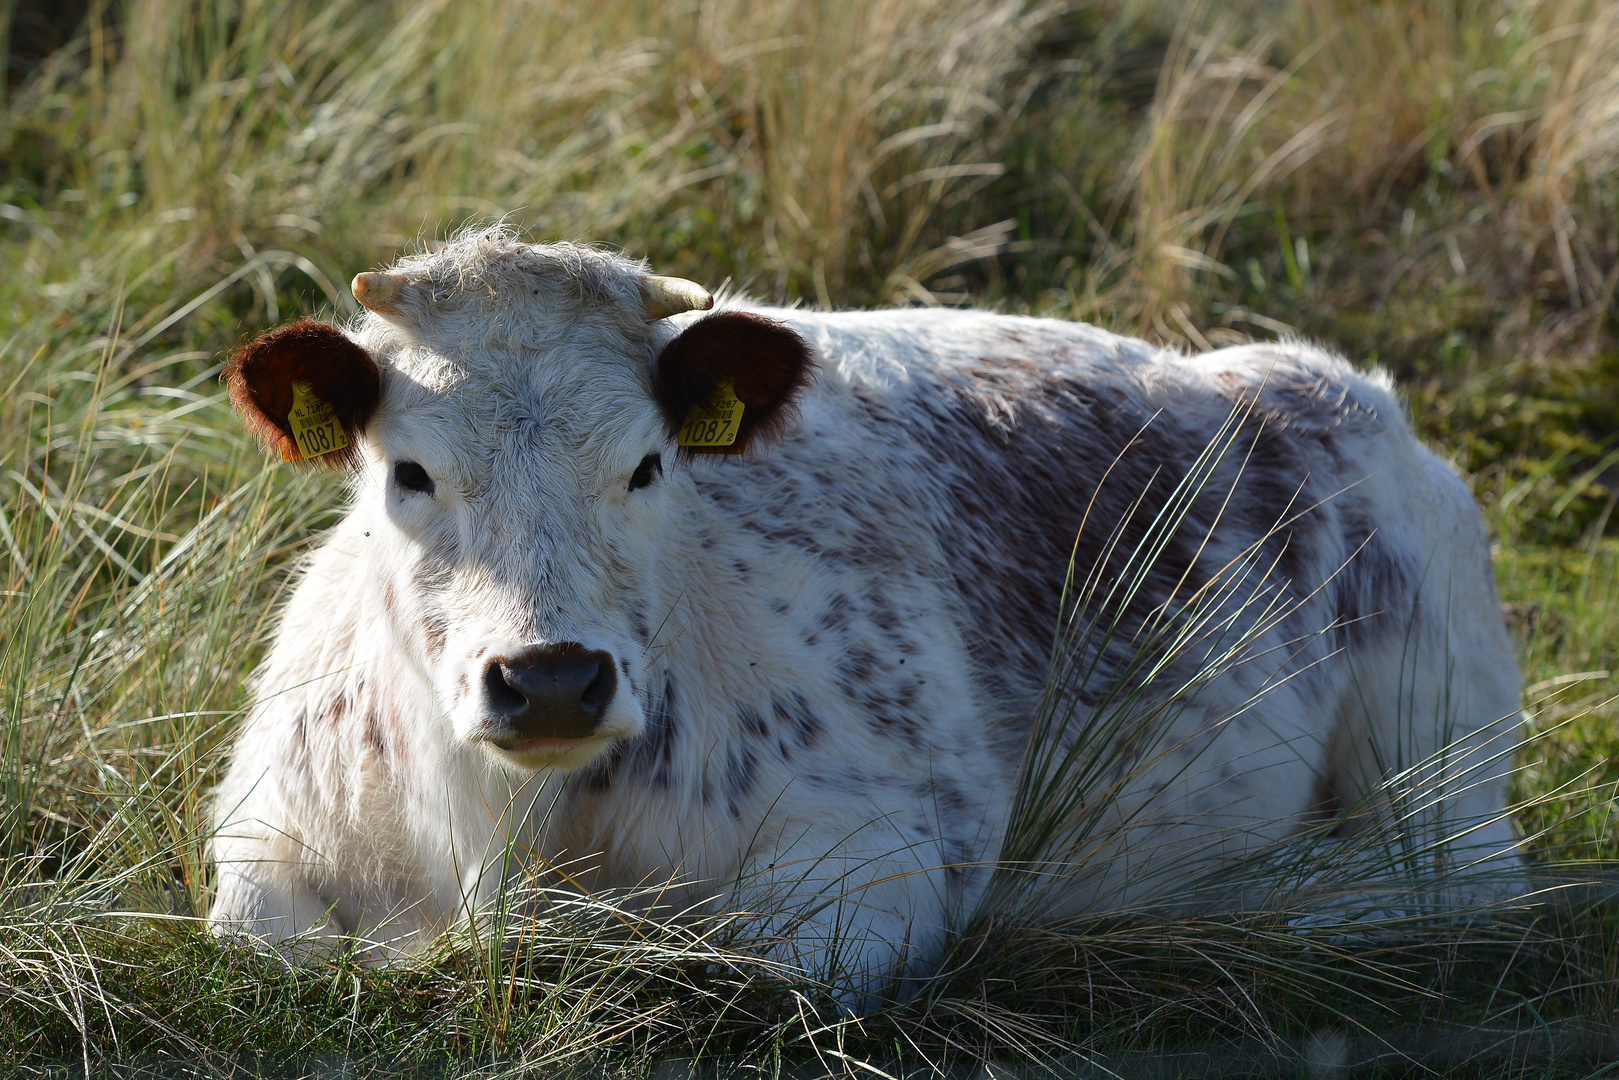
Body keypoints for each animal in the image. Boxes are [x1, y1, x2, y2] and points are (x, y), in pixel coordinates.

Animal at [212, 226, 1528, 1003]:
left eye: (647, 465)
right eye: (408, 473)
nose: (549, 680)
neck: (507, 831)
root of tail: (1325, 383)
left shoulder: (877, 861)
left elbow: (741, 975)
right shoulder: (262, 838)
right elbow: (270, 944)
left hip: (1438, 758)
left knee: (1436, 885)